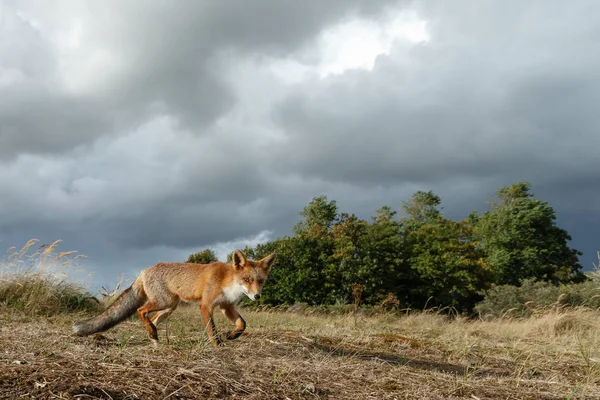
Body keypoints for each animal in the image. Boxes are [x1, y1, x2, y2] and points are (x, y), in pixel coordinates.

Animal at [72, 250, 276, 346]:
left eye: (260, 281)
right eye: (246, 279)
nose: (257, 296)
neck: (227, 280)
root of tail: (144, 270)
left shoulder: (226, 306)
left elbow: (242, 324)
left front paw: (232, 335)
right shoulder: (206, 305)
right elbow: (211, 329)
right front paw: (217, 345)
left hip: (168, 308)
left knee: (152, 319)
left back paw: (154, 340)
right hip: (165, 302)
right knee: (140, 310)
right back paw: (153, 335)